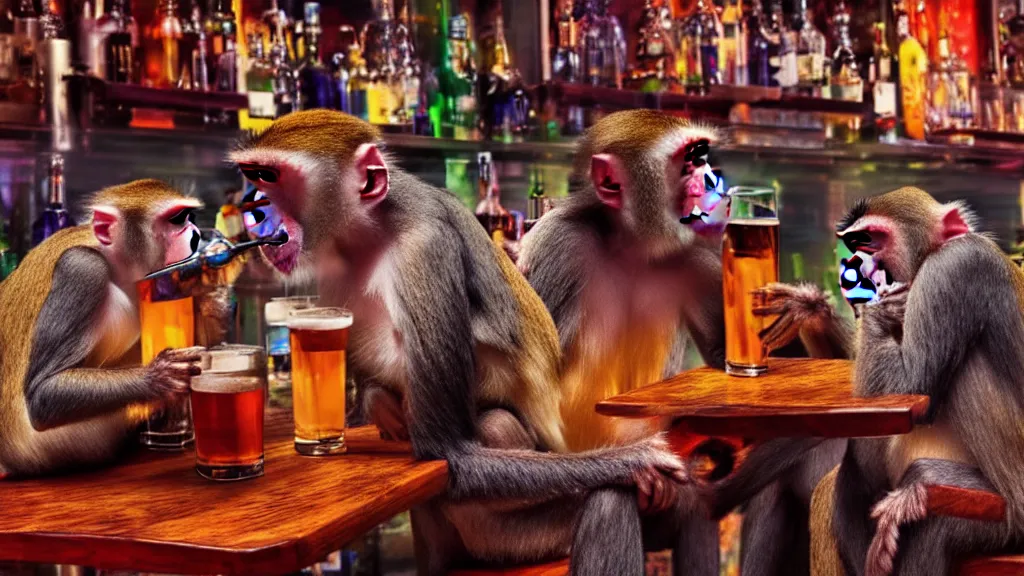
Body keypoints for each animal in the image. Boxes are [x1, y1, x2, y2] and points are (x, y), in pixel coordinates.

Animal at [0, 179, 209, 478]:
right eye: (177, 220)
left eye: (188, 217)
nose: (196, 235)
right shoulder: (83, 269)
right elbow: (43, 394)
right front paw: (159, 377)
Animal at [229, 109, 690, 576]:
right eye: (252, 174)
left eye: (270, 176)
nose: (253, 208)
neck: (373, 232)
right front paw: (635, 461)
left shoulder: (423, 251)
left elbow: (452, 454)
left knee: (502, 428)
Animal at [516, 109, 853, 576]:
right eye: (689, 162)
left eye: (702, 156)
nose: (709, 181)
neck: (631, 246)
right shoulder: (558, 247)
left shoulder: (695, 258)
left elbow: (726, 354)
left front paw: (804, 307)